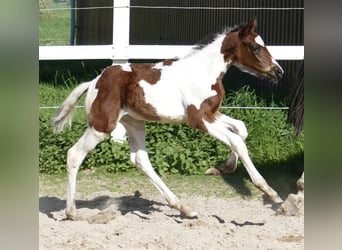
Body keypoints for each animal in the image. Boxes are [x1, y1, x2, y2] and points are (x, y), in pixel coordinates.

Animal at [52, 18, 284, 220]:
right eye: (255, 48)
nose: (278, 72)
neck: (203, 71)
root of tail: (93, 82)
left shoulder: (211, 114)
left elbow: (241, 129)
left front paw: (221, 168)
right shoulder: (199, 119)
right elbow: (236, 140)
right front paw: (270, 192)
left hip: (134, 123)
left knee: (140, 160)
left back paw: (183, 208)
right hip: (101, 126)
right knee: (74, 155)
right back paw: (71, 213)